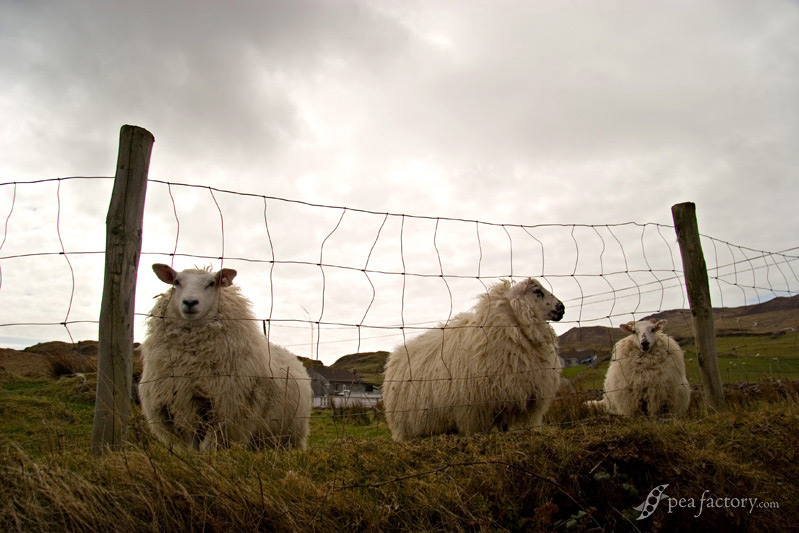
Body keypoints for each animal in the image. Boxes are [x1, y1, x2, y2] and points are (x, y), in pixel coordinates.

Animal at [138, 262, 312, 448]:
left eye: (211, 283)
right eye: (177, 282)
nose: (190, 302)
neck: (191, 360)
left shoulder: (225, 408)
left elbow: (206, 447)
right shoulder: (181, 407)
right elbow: (192, 447)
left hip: (291, 435)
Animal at [382, 274, 564, 440]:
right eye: (537, 291)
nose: (562, 307)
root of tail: (395, 356)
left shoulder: (506, 400)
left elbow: (504, 429)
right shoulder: (474, 411)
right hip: (404, 427)